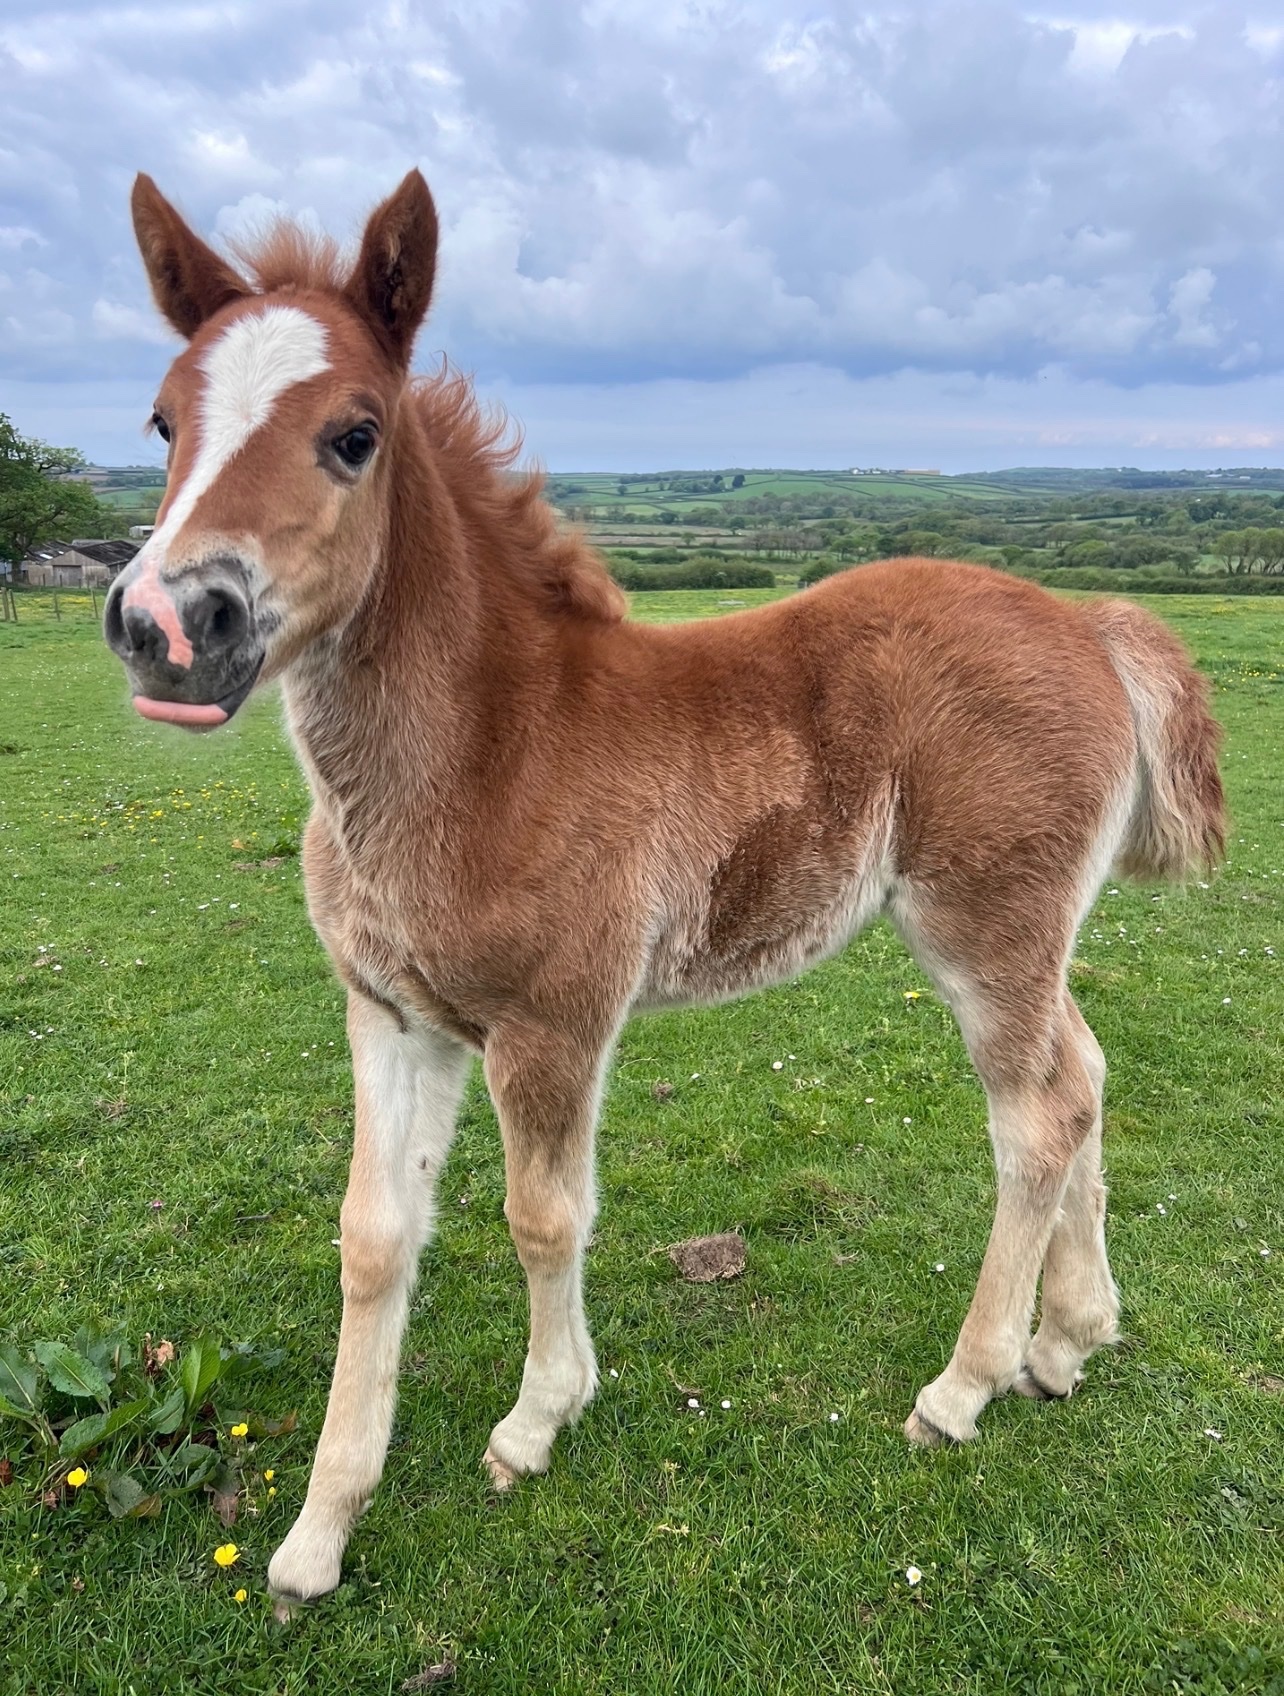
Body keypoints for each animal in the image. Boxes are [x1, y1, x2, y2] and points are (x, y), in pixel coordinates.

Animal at [105, 169, 1225, 1603]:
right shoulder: (391, 1014)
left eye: (354, 434)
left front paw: (538, 1418)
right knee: (1083, 1078)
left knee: (1035, 1122)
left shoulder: (554, 1022)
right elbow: (372, 1237)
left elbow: (543, 1218)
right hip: (1030, 940)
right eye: (161, 421)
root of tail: (1088, 619)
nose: (169, 625)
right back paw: (1069, 1341)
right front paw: (315, 1534)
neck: (487, 746)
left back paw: (962, 1386)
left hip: (984, 930)